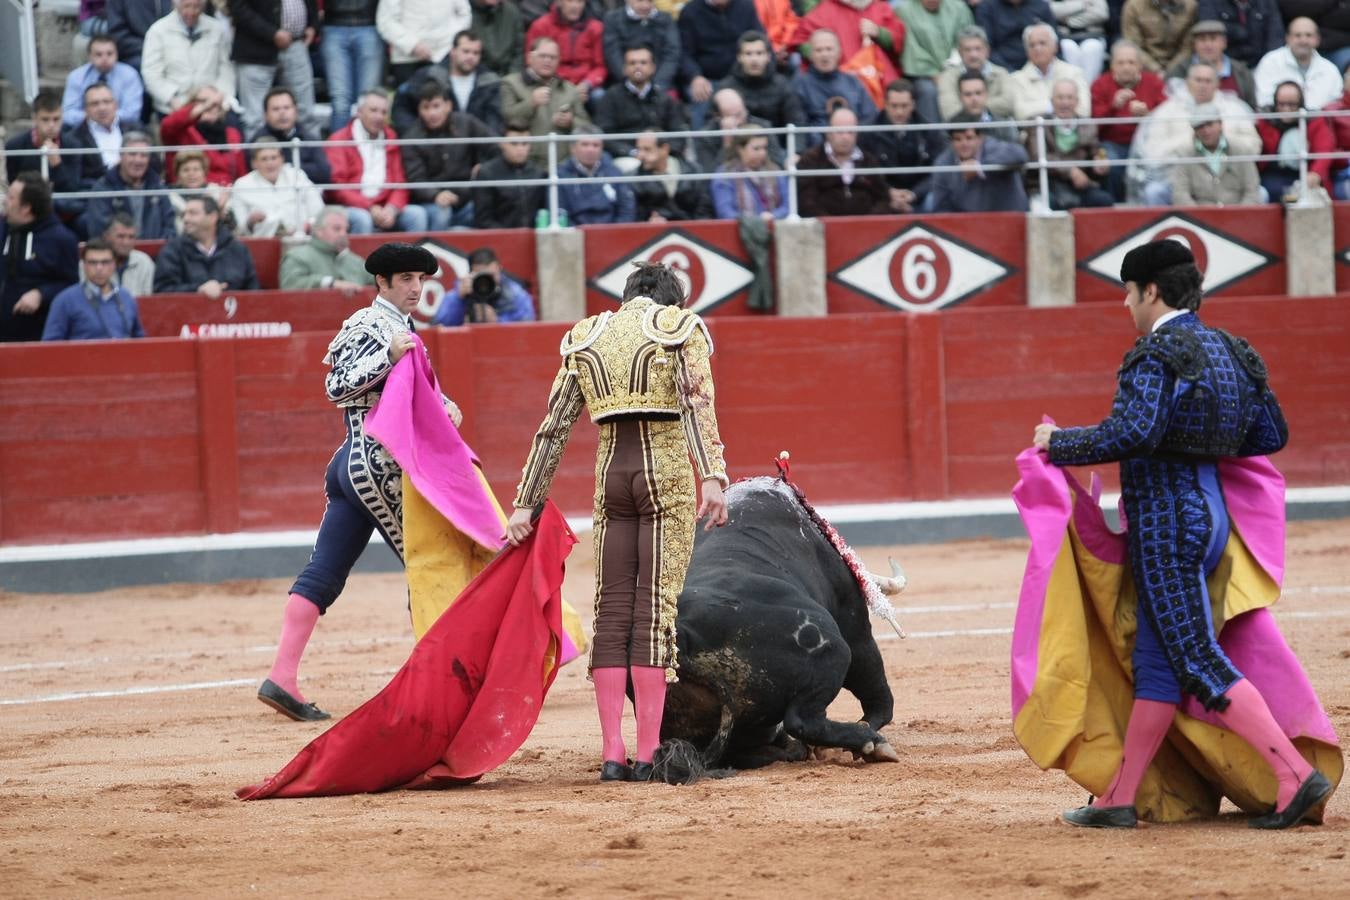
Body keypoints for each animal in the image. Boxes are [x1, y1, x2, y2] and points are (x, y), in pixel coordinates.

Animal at [661, 472, 907, 777]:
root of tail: (684, 639)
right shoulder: (854, 624)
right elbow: (878, 693)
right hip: (833, 648)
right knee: (804, 720)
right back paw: (867, 743)